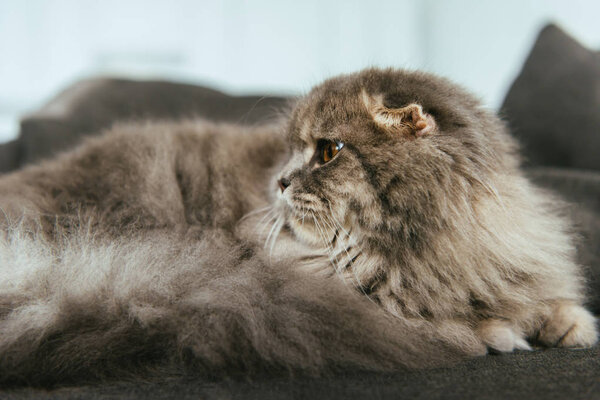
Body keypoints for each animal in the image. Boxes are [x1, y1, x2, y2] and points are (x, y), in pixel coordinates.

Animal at [0, 67, 596, 386]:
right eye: (291, 151)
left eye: (328, 151)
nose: (281, 182)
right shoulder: (329, 284)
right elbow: (427, 314)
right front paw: (497, 332)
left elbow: (540, 293)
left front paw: (567, 323)